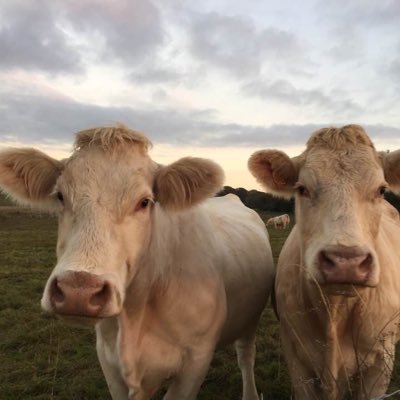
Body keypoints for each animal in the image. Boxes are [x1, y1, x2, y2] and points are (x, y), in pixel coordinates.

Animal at [0, 126, 276, 400]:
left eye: (144, 201)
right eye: (60, 196)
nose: (78, 291)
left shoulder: (196, 360)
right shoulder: (108, 360)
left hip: (250, 318)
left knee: (245, 356)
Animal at [248, 123, 400, 398]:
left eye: (381, 190)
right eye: (302, 189)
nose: (346, 261)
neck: (335, 311)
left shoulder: (381, 361)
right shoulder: (297, 360)